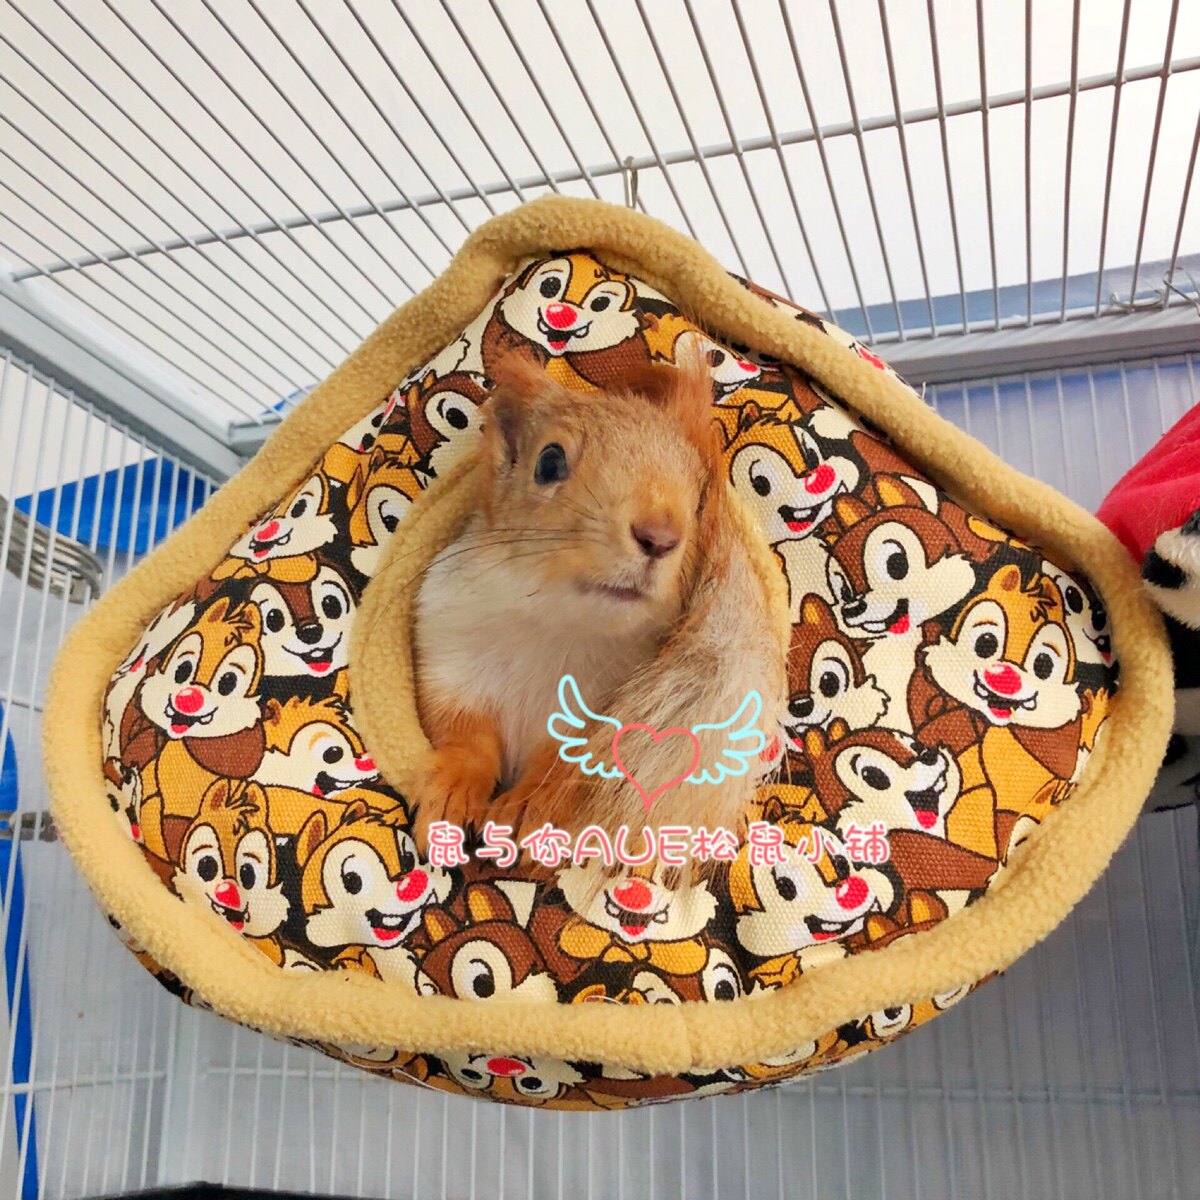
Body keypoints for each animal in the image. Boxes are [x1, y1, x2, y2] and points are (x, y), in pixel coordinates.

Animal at [410, 353, 786, 854]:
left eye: (701, 496)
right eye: (549, 462)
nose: (660, 535)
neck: (557, 624)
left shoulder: (608, 710)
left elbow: (565, 758)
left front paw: (529, 804)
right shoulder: (448, 653)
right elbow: (463, 736)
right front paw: (451, 791)